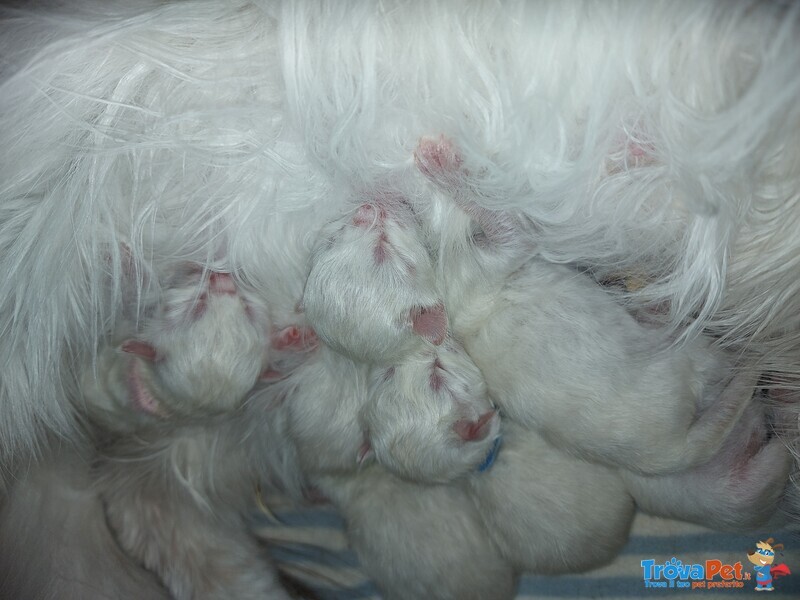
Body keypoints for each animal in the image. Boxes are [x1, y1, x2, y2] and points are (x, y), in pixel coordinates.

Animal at [416, 135, 760, 474]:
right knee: (719, 363)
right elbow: (504, 221)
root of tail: (672, 452)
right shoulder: (494, 258)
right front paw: (443, 163)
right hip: (693, 358)